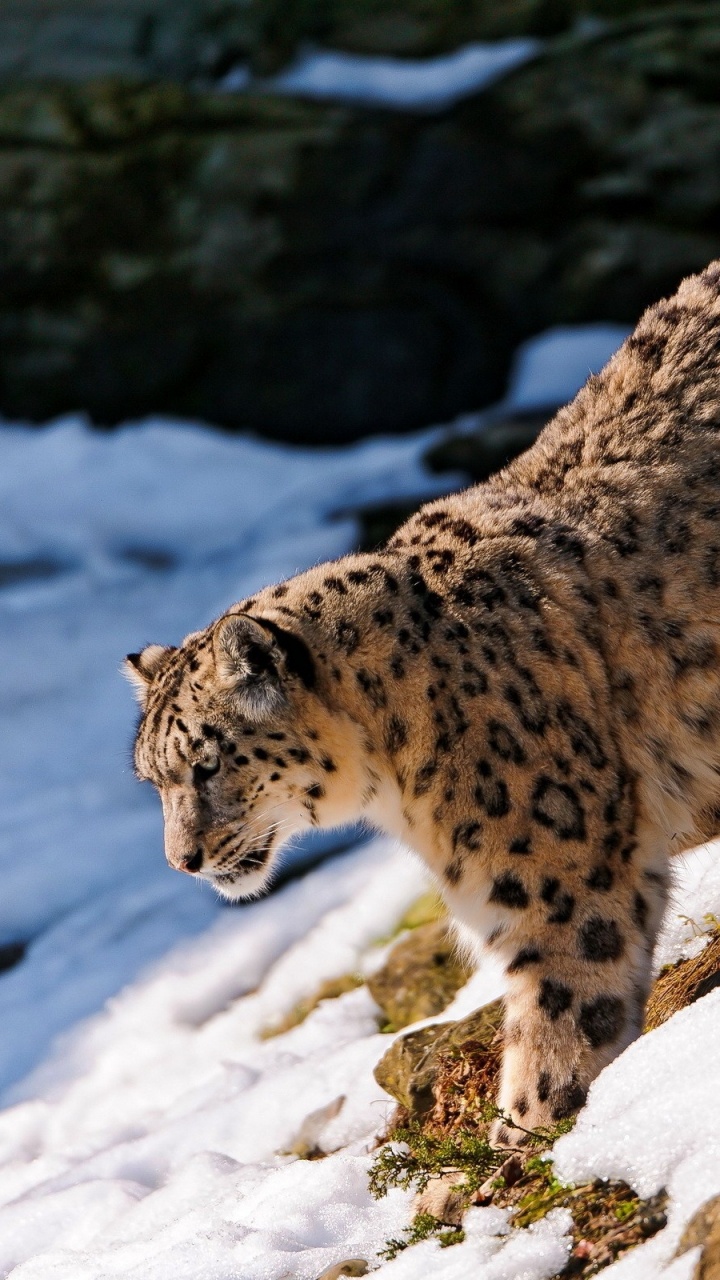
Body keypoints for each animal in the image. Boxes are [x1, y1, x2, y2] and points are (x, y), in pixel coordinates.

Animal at [126, 260, 720, 1147]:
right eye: (153, 780)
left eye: (206, 762)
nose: (183, 861)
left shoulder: (561, 886)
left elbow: (563, 1019)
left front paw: (525, 1133)